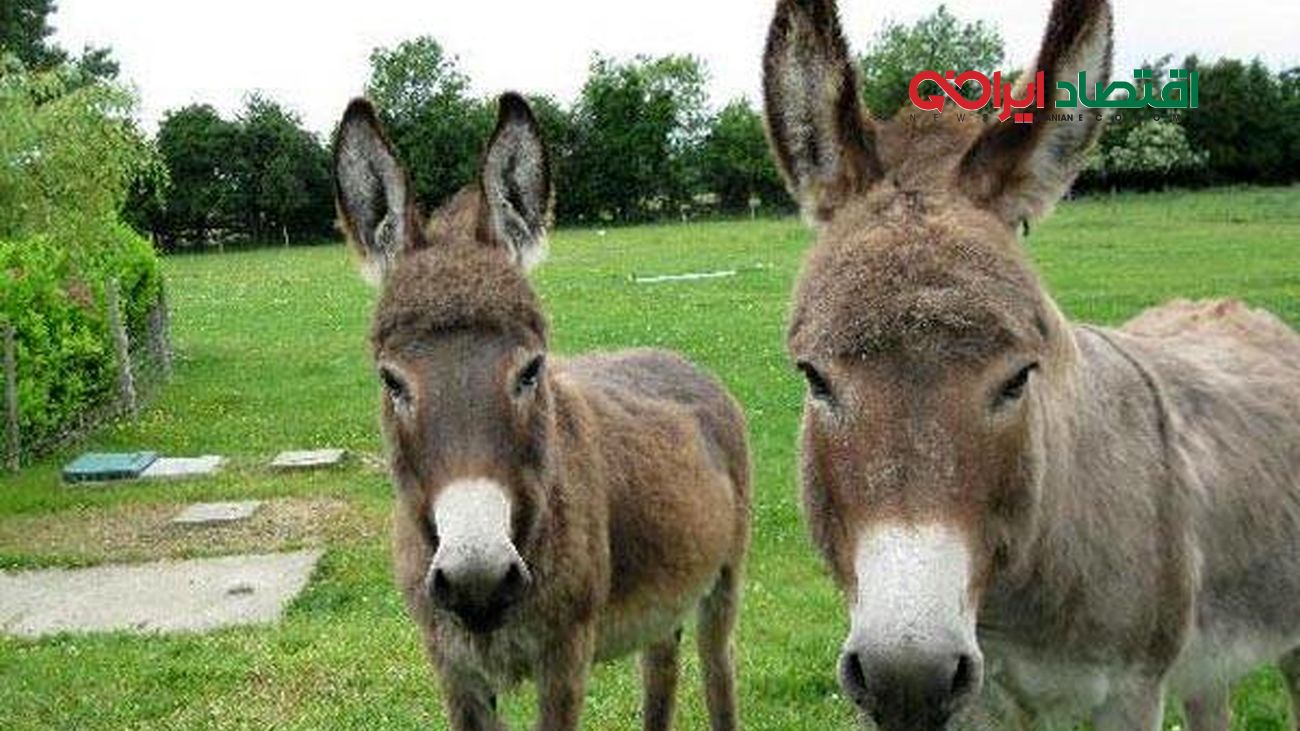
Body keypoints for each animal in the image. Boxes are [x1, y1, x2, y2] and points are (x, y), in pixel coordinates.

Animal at [332, 92, 750, 731]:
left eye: (531, 370)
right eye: (391, 380)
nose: (476, 578)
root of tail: (673, 356)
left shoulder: (565, 657)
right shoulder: (451, 666)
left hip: (723, 581)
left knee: (717, 670)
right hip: (663, 594)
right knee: (661, 666)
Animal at [760, 0, 1300, 729]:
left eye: (1019, 377)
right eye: (814, 378)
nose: (908, 680)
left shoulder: (1133, 690)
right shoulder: (983, 697)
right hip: (1206, 664)